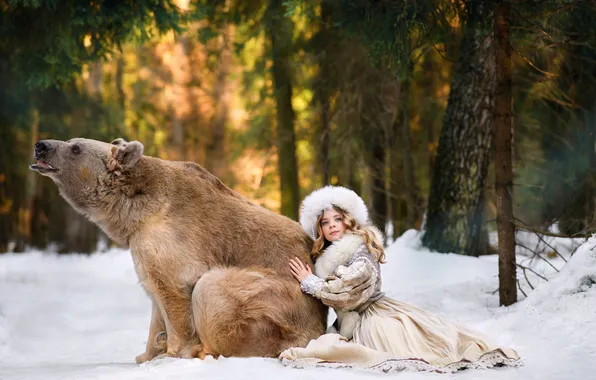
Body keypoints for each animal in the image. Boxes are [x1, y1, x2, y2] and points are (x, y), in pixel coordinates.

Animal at [29, 139, 326, 362]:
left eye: (76, 147)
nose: (41, 145)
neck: (132, 211)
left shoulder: (171, 236)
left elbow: (175, 288)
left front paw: (173, 350)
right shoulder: (141, 245)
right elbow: (153, 296)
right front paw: (148, 351)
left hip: (278, 304)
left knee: (213, 289)